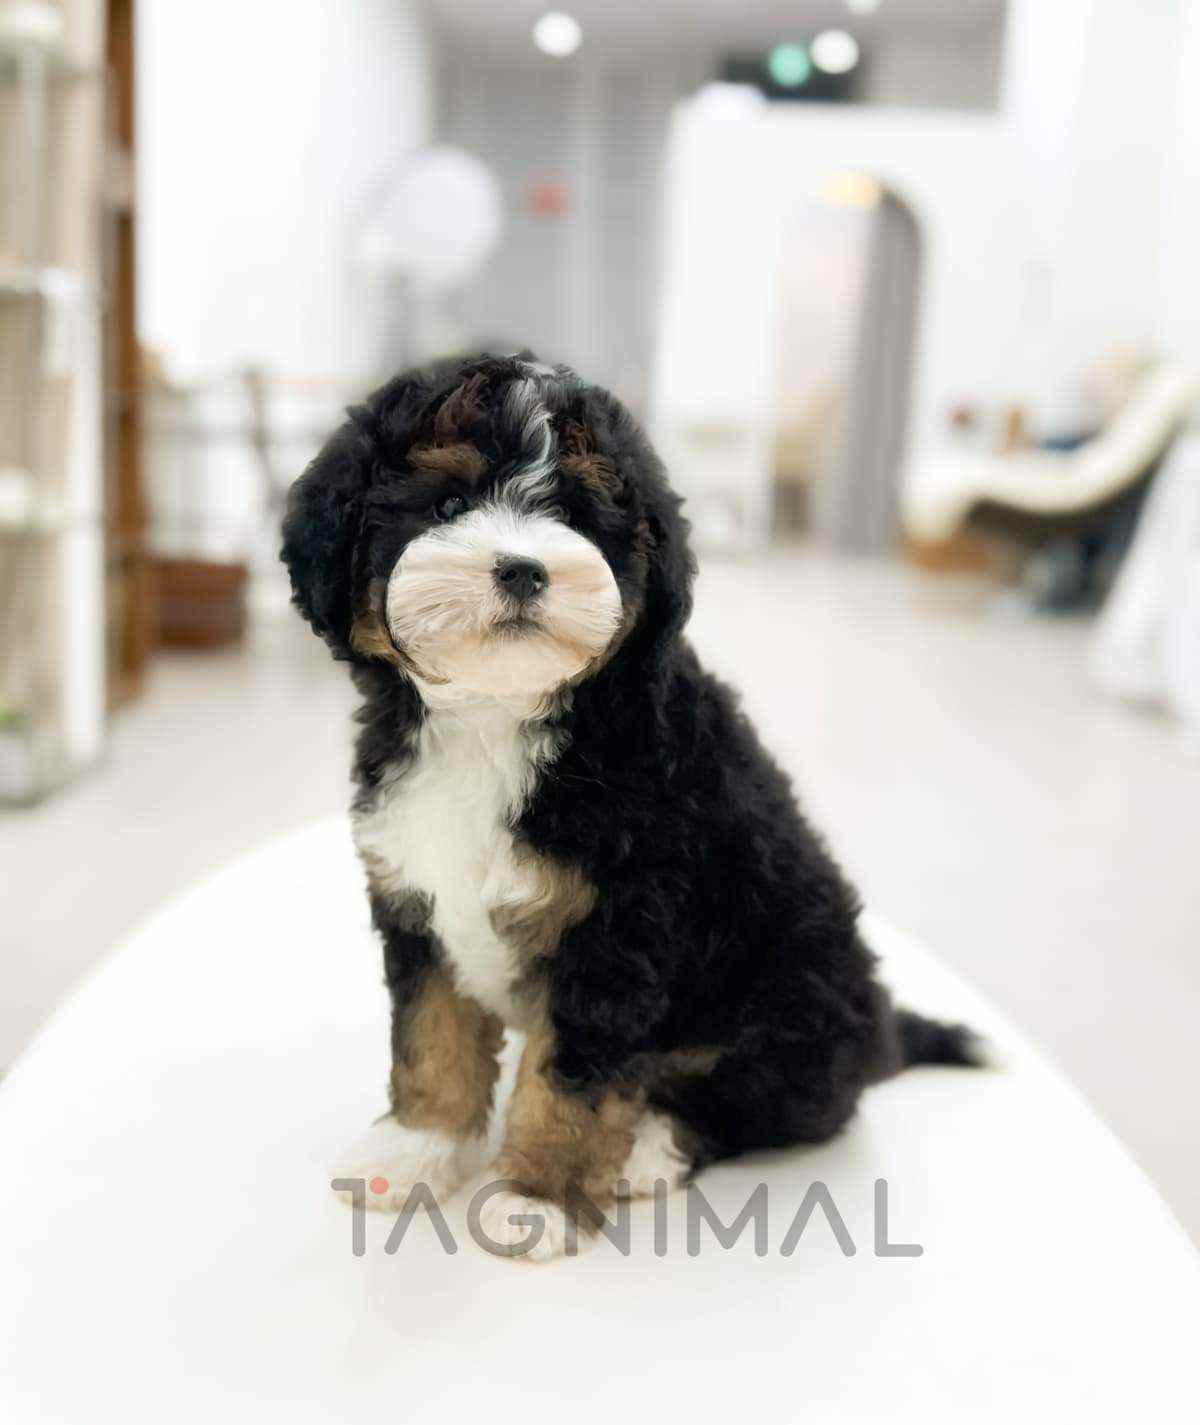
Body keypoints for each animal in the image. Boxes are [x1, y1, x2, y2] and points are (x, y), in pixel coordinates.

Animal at [282, 352, 979, 1260]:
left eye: (576, 514)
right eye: (446, 505)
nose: (522, 568)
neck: (497, 722)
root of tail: (884, 1029)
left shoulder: (618, 927)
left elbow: (572, 1073)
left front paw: (537, 1194)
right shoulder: (416, 897)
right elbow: (431, 1033)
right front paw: (418, 1146)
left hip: (796, 996)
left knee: (769, 1099)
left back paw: (649, 1143)